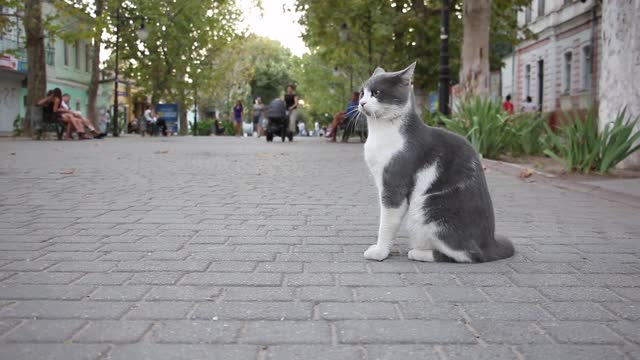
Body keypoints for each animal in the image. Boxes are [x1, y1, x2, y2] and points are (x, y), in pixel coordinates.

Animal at [360, 63, 516, 262]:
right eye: (362, 93)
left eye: (376, 93)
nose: (361, 103)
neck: (381, 130)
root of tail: (490, 244)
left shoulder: (394, 185)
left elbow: (387, 222)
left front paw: (380, 251)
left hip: (427, 210)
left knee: (469, 255)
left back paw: (417, 253)